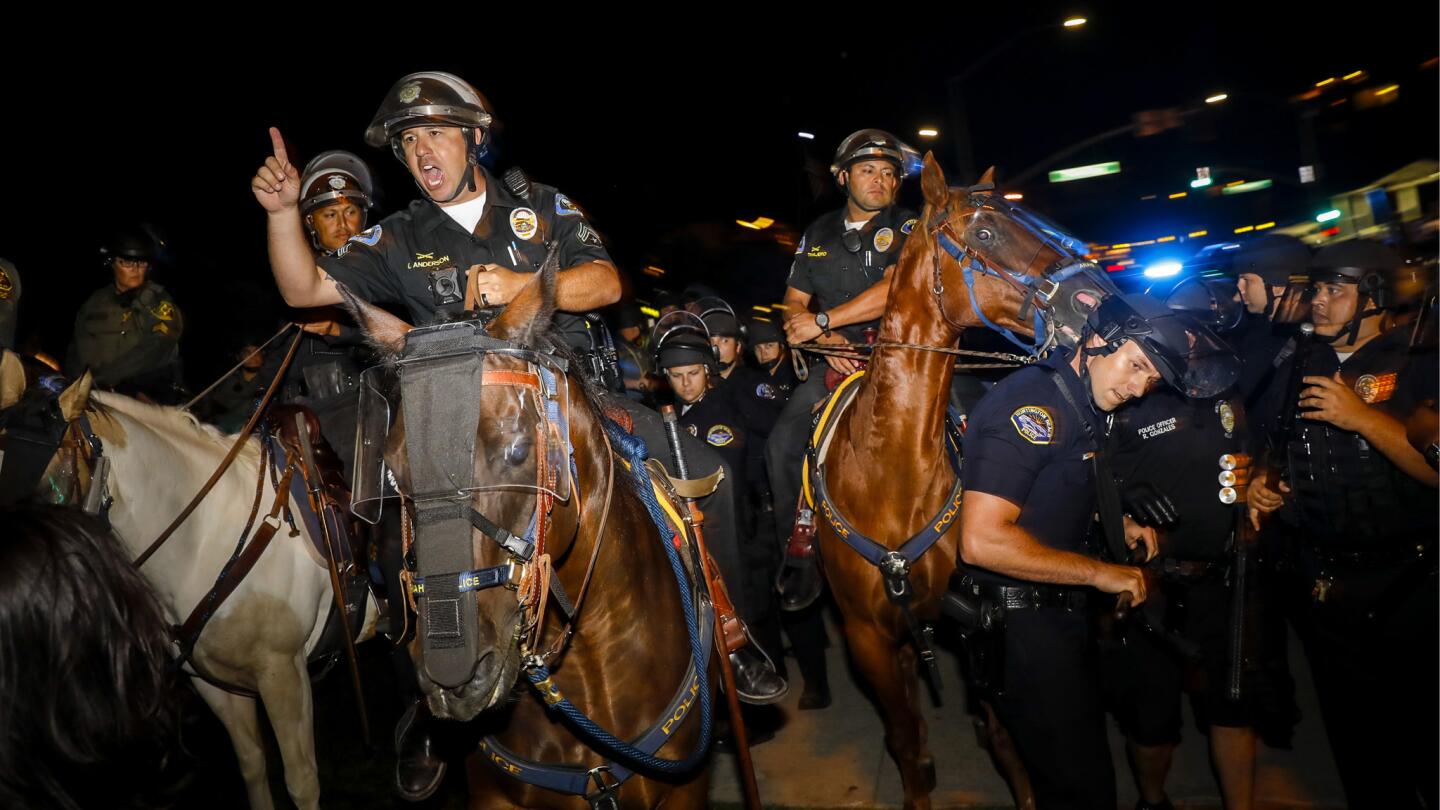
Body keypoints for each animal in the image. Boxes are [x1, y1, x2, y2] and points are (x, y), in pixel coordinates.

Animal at [0, 355, 377, 807]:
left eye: (45, 494)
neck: (206, 538)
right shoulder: (213, 684)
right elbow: (253, 766)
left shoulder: (283, 672)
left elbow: (301, 782)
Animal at [812, 152, 1111, 807]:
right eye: (986, 233)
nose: (1096, 299)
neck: (888, 476)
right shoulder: (868, 637)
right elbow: (905, 741)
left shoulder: (972, 617)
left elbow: (1004, 736)